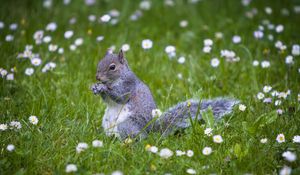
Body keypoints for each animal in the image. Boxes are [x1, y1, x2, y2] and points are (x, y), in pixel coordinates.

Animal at [91, 50, 239, 140]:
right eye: (99, 62)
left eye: (112, 67)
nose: (97, 77)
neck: (118, 78)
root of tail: (150, 132)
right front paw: (95, 87)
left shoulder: (128, 85)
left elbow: (120, 96)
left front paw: (103, 87)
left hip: (127, 126)